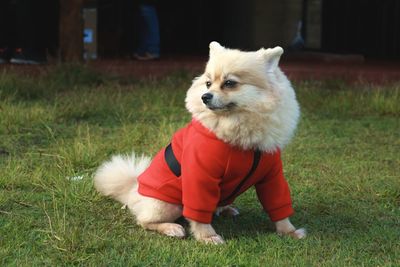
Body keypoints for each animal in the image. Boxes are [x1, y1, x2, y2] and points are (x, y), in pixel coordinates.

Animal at [94, 42, 306, 245]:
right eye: (208, 83)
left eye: (229, 83)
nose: (205, 96)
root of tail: (133, 189)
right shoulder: (200, 174)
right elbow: (198, 212)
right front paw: (207, 237)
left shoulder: (272, 175)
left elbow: (278, 203)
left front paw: (289, 231)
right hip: (167, 204)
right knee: (144, 220)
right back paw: (171, 228)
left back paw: (226, 209)